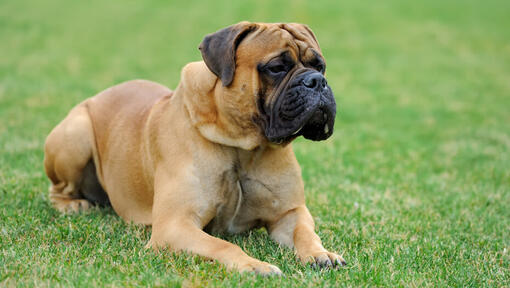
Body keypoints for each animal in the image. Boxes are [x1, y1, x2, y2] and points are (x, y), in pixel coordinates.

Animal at [44, 22, 346, 274]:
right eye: (276, 68)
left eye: (320, 65)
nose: (317, 81)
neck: (242, 146)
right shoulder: (175, 226)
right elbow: (222, 244)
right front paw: (253, 265)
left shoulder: (289, 213)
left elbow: (304, 233)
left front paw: (321, 253)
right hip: (76, 134)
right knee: (58, 190)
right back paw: (73, 205)